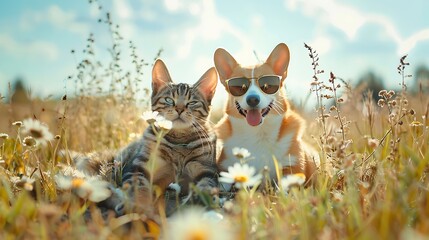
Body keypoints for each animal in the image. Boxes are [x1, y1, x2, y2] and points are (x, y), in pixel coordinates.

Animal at [88, 59, 219, 216]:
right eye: (169, 100)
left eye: (192, 102)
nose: (180, 108)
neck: (178, 140)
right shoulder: (140, 165)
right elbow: (138, 186)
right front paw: (139, 204)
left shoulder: (206, 169)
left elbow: (207, 186)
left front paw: (198, 201)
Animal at [213, 43, 318, 189]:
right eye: (239, 86)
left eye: (267, 85)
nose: (252, 99)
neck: (258, 132)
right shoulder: (225, 170)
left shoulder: (293, 168)